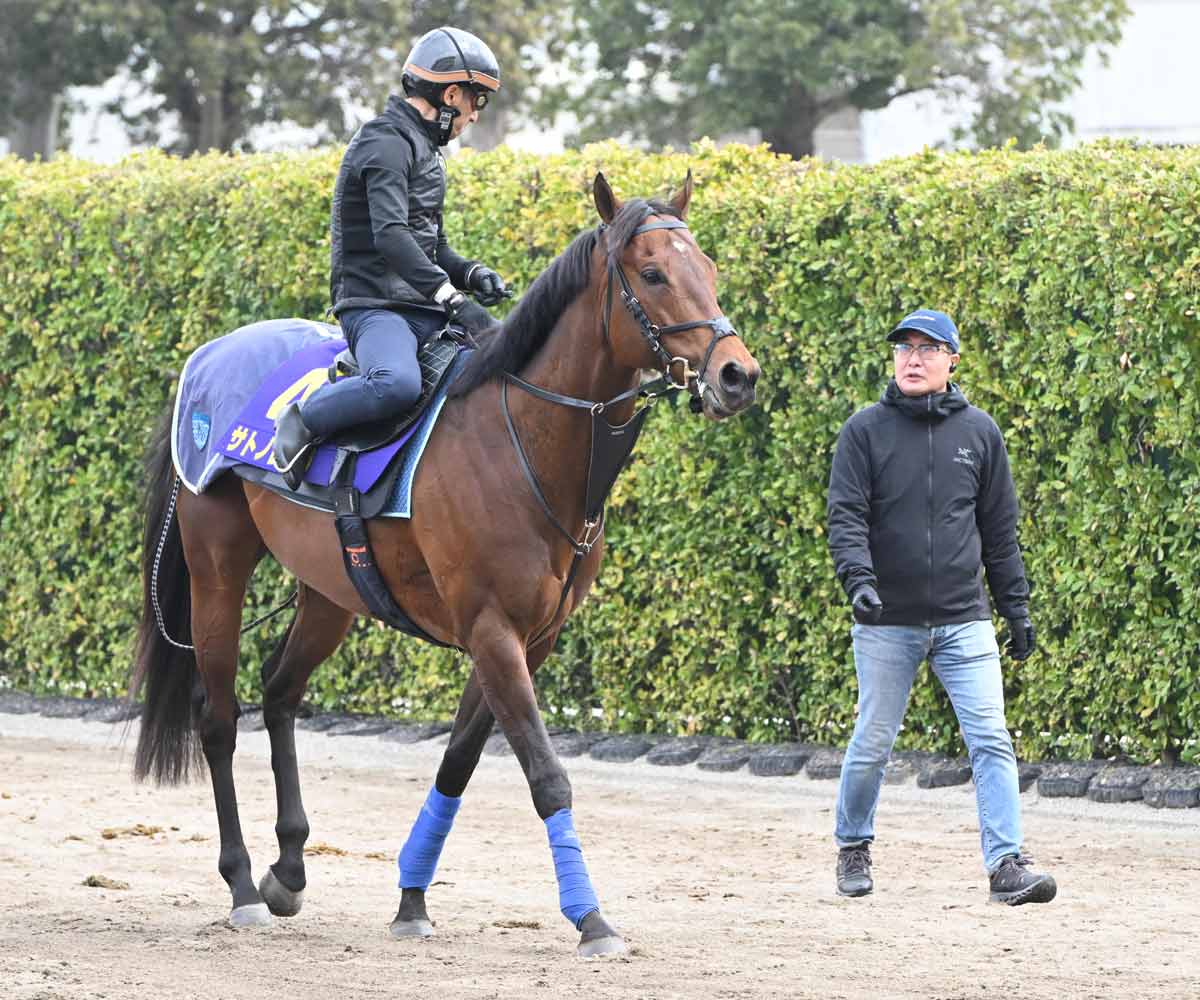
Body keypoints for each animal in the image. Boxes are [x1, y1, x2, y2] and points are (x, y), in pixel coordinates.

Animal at [130, 172, 761, 956]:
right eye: (652, 274)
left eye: (709, 270)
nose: (737, 375)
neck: (522, 436)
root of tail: (208, 354)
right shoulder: (491, 630)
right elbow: (546, 774)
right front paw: (590, 918)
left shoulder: (529, 638)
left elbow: (459, 761)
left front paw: (411, 898)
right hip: (218, 568)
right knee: (218, 717)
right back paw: (244, 883)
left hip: (328, 592)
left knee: (280, 693)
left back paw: (290, 867)